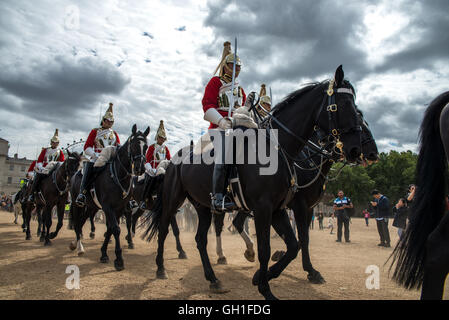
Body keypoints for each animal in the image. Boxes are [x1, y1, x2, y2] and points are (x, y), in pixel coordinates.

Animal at [69, 124, 148, 268]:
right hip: (77, 204)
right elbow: (115, 229)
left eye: (146, 146)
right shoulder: (107, 207)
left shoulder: (119, 208)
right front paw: (119, 259)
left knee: (83, 221)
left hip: (91, 206)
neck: (118, 175)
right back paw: (79, 247)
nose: (140, 169)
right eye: (133, 144)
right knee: (77, 224)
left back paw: (75, 243)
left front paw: (104, 254)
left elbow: (112, 228)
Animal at [142, 65, 362, 300]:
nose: (355, 150)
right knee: (164, 230)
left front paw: (261, 277)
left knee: (201, 240)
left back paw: (213, 279)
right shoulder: (265, 207)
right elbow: (266, 248)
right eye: (345, 105)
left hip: (203, 206)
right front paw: (266, 289)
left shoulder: (278, 209)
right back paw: (161, 268)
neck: (276, 148)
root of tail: (172, 160)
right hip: (173, 200)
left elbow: (293, 245)